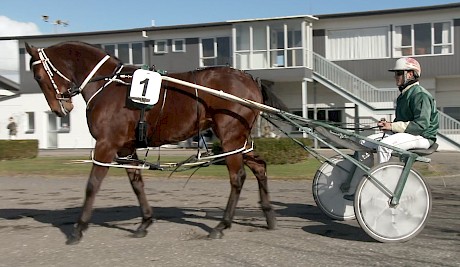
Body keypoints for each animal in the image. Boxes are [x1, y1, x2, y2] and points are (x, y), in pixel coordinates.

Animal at [25, 41, 284, 245]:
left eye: (38, 76)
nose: (60, 109)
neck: (109, 84)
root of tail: (249, 78)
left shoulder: (106, 145)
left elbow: (92, 185)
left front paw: (78, 229)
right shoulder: (125, 147)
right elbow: (137, 184)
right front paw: (145, 222)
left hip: (230, 138)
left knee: (237, 178)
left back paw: (222, 225)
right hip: (239, 141)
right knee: (259, 166)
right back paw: (269, 216)